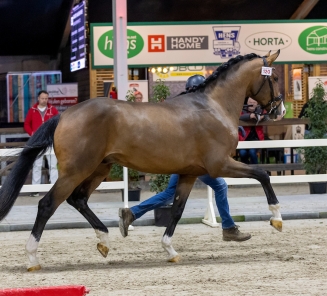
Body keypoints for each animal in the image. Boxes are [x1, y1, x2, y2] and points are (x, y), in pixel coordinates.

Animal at [0, 51, 284, 270]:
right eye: (275, 77)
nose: (279, 110)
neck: (213, 106)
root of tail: (64, 115)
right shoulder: (220, 165)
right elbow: (263, 174)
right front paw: (277, 218)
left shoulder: (190, 173)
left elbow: (177, 209)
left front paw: (170, 251)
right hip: (76, 170)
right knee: (48, 204)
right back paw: (32, 258)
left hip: (99, 169)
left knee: (78, 199)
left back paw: (105, 240)